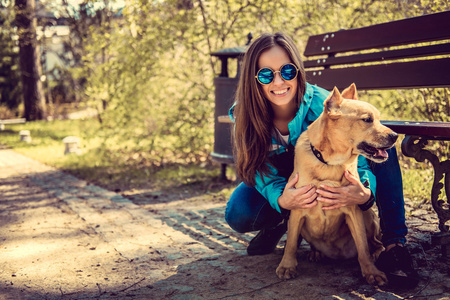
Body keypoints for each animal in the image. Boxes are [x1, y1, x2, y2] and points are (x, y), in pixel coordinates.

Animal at [274, 83, 398, 284]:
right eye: (367, 119)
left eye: (379, 119)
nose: (395, 136)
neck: (330, 164)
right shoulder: (297, 209)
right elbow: (291, 243)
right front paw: (287, 266)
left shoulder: (354, 211)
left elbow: (363, 247)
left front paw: (371, 272)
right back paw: (316, 253)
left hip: (367, 216)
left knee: (375, 244)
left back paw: (377, 255)